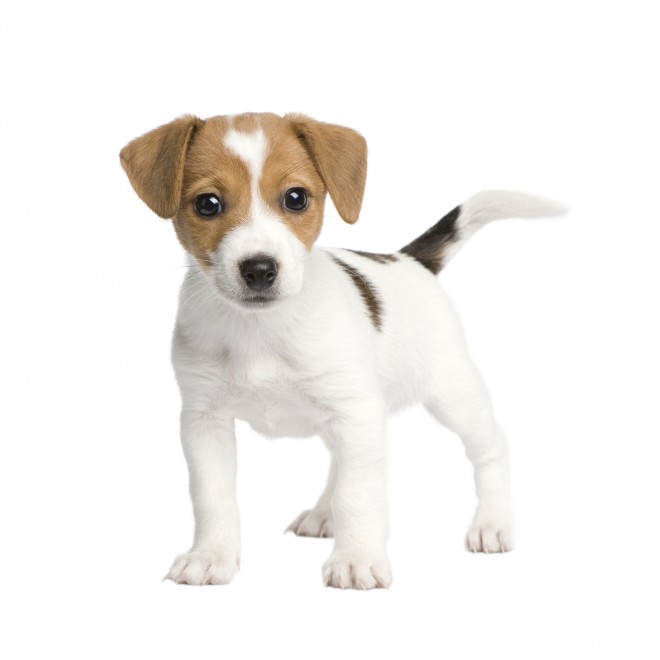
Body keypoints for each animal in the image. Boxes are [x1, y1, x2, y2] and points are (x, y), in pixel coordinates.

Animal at [118, 111, 564, 592]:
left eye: (296, 198)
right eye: (207, 204)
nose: (259, 269)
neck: (261, 329)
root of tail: (409, 261)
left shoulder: (354, 411)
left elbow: (358, 494)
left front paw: (357, 560)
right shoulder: (204, 420)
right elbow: (212, 496)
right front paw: (211, 556)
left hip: (451, 394)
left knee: (491, 446)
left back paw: (492, 522)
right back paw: (322, 514)